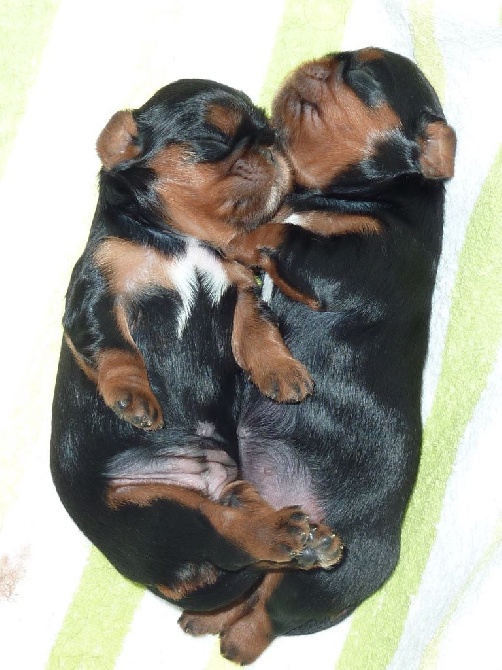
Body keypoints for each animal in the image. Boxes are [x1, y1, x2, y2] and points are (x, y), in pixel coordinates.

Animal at [50, 79, 342, 616]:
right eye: (215, 136)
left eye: (268, 132)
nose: (272, 146)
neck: (187, 239)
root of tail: (165, 580)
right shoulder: (97, 292)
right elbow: (114, 347)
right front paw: (133, 398)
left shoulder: (241, 287)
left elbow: (256, 329)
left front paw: (281, 371)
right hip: (152, 505)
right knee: (226, 533)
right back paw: (289, 535)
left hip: (223, 489)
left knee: (236, 535)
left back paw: (304, 541)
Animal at [178, 48, 456, 668]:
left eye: (361, 75)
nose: (320, 60)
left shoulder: (349, 260)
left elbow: (278, 233)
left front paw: (242, 236)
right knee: (258, 583)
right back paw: (209, 618)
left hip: (330, 573)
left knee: (269, 615)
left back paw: (234, 639)